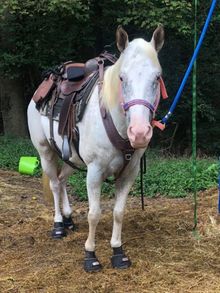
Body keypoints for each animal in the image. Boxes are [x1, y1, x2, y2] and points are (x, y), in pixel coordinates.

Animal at [27, 25, 164, 272]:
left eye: (157, 78)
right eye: (122, 77)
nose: (139, 133)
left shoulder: (128, 174)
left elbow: (118, 213)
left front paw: (118, 252)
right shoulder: (94, 172)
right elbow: (94, 214)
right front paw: (90, 256)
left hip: (72, 158)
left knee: (62, 179)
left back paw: (68, 218)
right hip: (46, 153)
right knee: (54, 184)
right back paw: (59, 225)